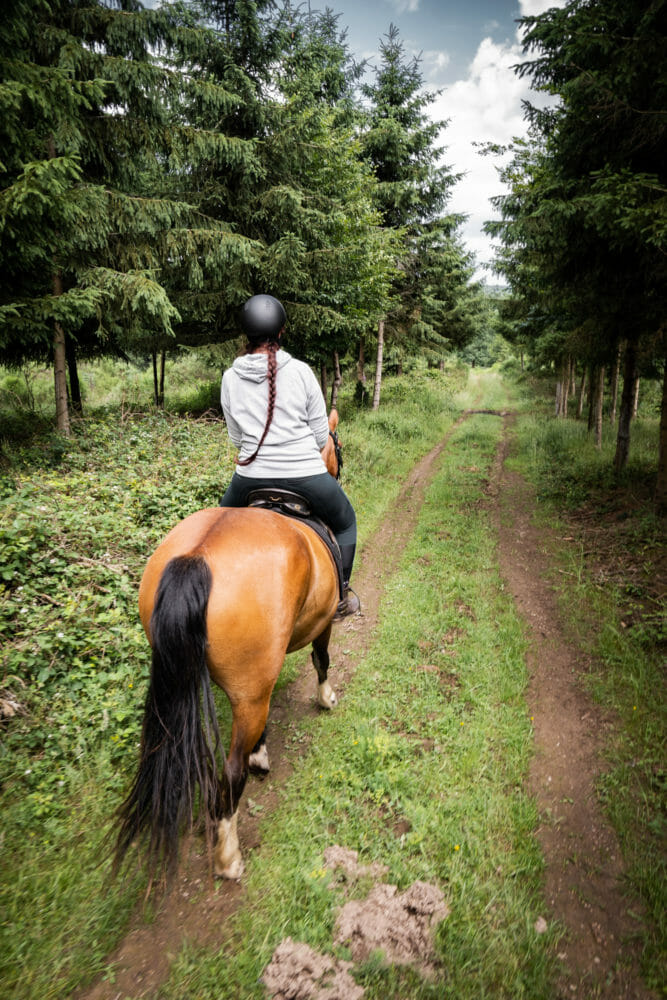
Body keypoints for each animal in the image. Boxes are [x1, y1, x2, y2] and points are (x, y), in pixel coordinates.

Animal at [115, 410, 344, 880]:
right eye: (338, 443)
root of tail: (197, 557)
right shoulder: (324, 620)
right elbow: (322, 659)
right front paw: (326, 698)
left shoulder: (257, 680)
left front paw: (262, 751)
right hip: (249, 688)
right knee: (231, 772)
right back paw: (228, 856)